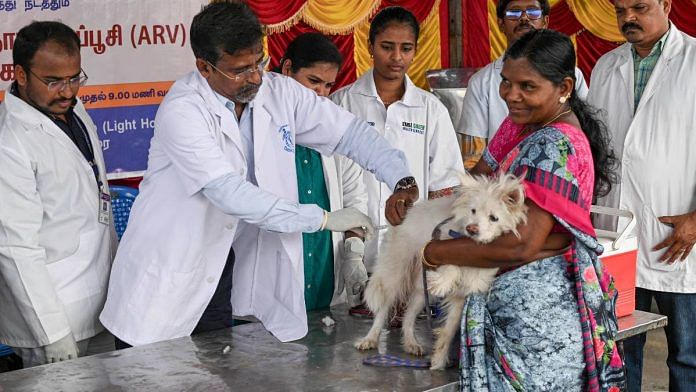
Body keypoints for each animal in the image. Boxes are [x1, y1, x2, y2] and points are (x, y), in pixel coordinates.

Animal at [354, 173, 528, 370]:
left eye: (493, 218)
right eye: (473, 211)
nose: (471, 229)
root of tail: (409, 211)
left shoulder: (462, 296)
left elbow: (448, 331)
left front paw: (438, 360)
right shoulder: (441, 242)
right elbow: (450, 264)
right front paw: (443, 282)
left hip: (422, 290)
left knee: (409, 315)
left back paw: (411, 342)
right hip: (396, 273)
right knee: (383, 308)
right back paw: (370, 338)